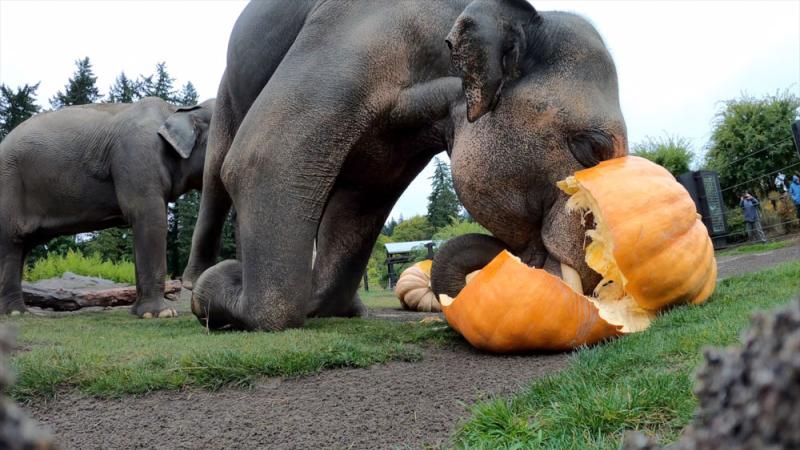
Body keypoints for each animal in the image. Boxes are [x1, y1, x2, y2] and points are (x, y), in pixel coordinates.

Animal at [0, 97, 216, 316]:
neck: (175, 110)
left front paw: (138, 313)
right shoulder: (138, 157)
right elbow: (149, 218)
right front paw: (160, 314)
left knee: (22, 245)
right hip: (8, 184)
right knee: (11, 241)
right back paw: (16, 313)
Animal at [184, 0, 628, 330]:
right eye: (592, 148)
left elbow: (359, 205)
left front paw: (318, 301)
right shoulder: (353, 36)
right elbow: (264, 157)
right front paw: (220, 288)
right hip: (226, 93)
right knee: (218, 173)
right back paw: (195, 282)